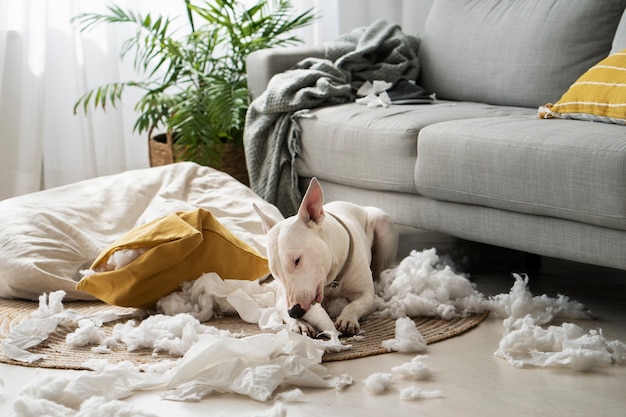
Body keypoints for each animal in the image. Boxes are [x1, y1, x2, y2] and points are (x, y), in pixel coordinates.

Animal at [252, 177, 394, 336]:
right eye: (275, 273)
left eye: (297, 260)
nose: (294, 312)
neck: (332, 282)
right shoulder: (283, 299)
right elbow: (282, 308)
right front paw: (299, 324)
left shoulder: (366, 294)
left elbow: (357, 303)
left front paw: (347, 319)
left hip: (382, 221)